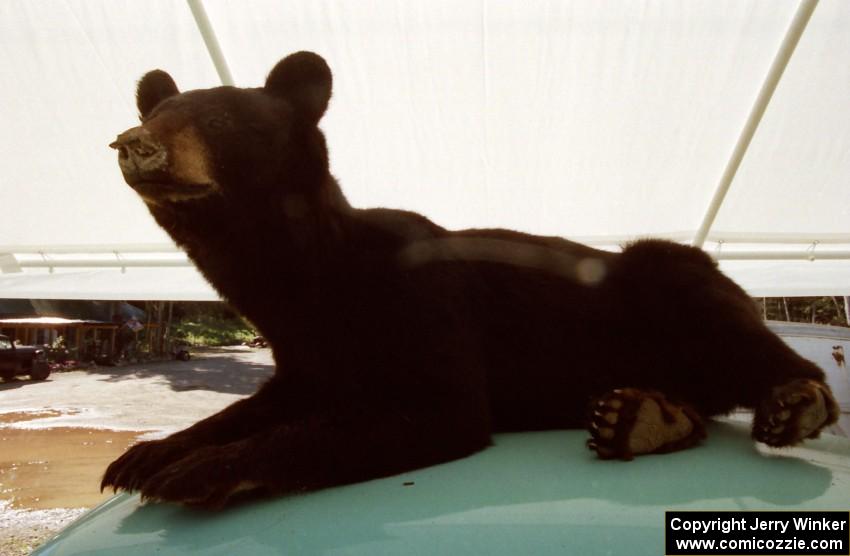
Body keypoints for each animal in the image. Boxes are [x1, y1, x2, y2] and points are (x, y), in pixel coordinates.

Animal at [104, 52, 836, 508]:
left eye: (217, 120)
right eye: (154, 111)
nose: (132, 143)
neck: (309, 277)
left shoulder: (422, 300)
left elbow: (436, 408)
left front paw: (198, 471)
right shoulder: (305, 348)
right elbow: (263, 402)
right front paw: (146, 457)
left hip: (672, 283)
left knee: (726, 319)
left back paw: (794, 399)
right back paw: (642, 418)